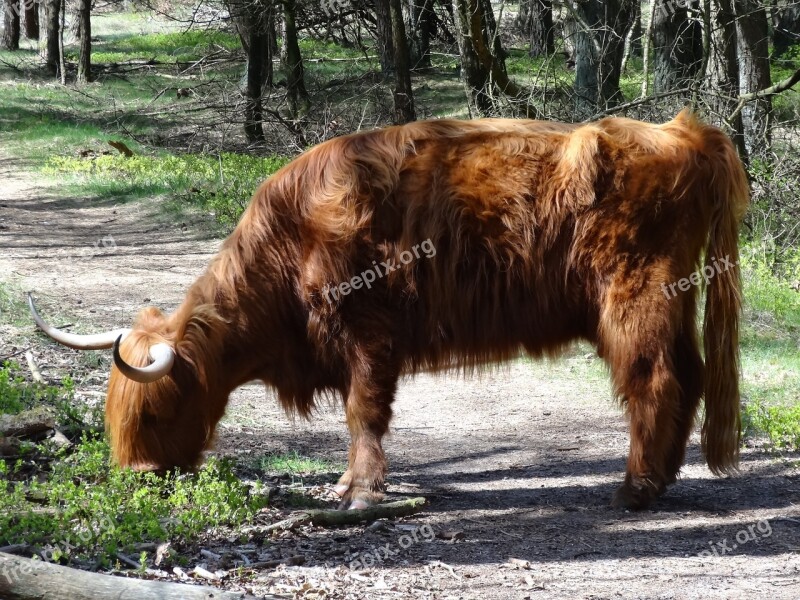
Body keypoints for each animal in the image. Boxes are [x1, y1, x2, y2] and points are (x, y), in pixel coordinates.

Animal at [26, 110, 752, 508]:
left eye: (158, 409)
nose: (137, 479)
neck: (287, 242)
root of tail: (684, 132)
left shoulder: (367, 334)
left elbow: (363, 414)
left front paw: (359, 491)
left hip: (634, 299)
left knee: (655, 380)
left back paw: (635, 489)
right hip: (672, 299)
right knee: (688, 375)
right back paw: (661, 480)